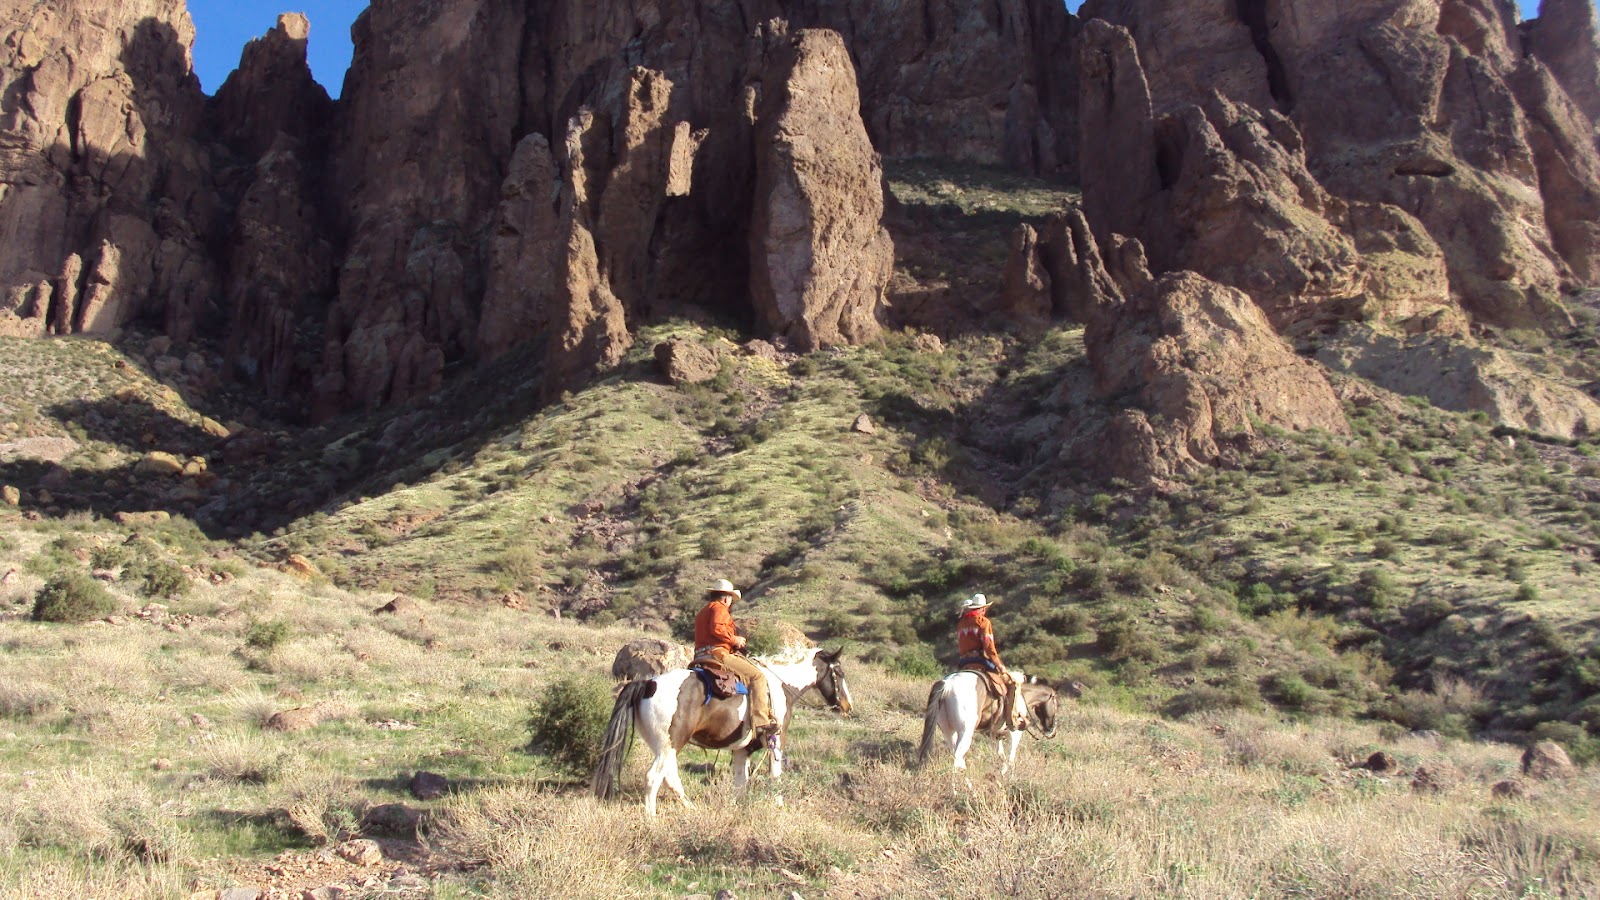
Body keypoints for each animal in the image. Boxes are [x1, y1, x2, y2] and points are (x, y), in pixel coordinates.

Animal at [591, 647, 852, 816]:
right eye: (839, 673)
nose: (848, 706)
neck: (781, 685)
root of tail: (648, 683)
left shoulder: (741, 750)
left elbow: (740, 782)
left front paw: (738, 807)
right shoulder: (775, 740)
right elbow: (775, 776)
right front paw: (779, 807)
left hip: (665, 747)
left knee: (670, 777)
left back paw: (690, 808)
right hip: (669, 745)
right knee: (654, 777)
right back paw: (652, 817)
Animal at [914, 672, 1082, 775]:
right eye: (1058, 704)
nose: (1051, 730)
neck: (1022, 695)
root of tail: (948, 684)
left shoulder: (996, 736)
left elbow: (1001, 756)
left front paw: (1001, 773)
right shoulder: (1015, 734)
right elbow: (1011, 758)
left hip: (949, 732)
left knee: (957, 756)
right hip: (965, 733)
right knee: (957, 759)